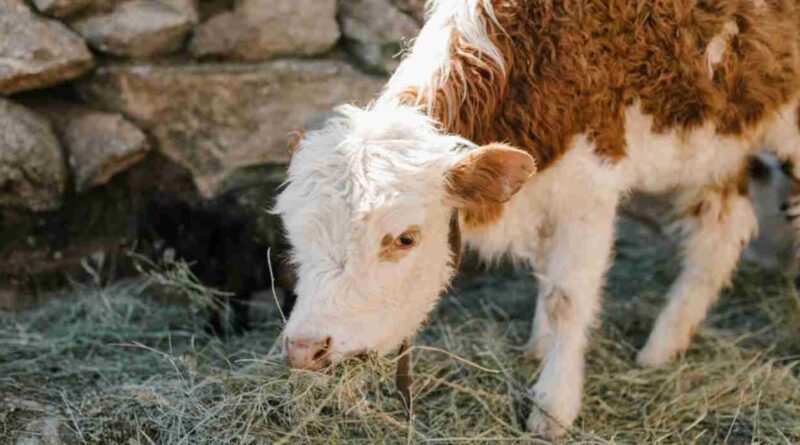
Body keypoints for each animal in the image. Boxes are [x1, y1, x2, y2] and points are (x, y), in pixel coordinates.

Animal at [274, 0, 800, 438]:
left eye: (404, 239)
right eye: (294, 238)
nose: (304, 348)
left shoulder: (590, 182)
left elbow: (567, 297)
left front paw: (553, 407)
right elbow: (546, 276)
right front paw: (538, 348)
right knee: (723, 230)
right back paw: (661, 348)